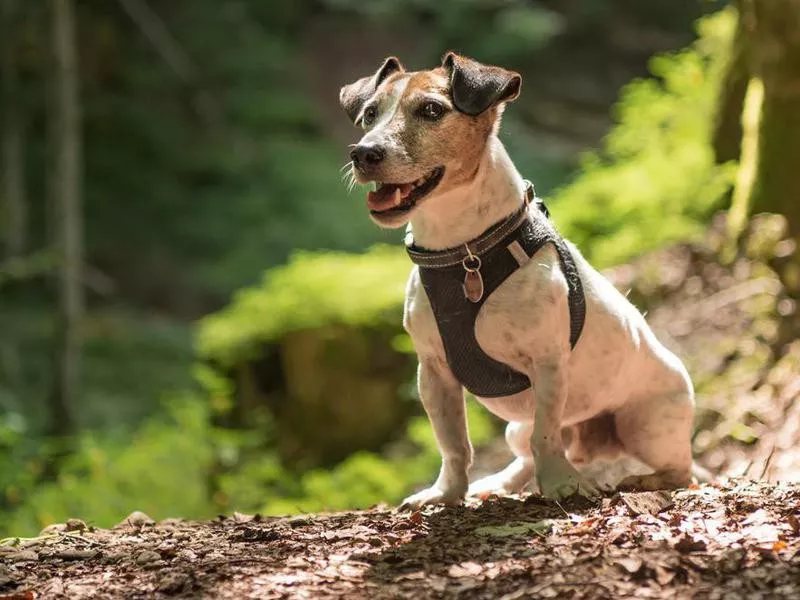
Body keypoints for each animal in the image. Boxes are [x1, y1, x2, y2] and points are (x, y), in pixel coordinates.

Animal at [338, 54, 692, 508]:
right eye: (369, 114)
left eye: (431, 110)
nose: (363, 153)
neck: (466, 253)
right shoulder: (433, 372)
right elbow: (453, 444)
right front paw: (447, 492)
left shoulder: (547, 364)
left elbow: (546, 437)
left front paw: (561, 484)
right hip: (515, 428)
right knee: (527, 454)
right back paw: (501, 483)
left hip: (644, 424)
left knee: (681, 470)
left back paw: (641, 479)